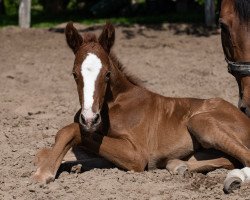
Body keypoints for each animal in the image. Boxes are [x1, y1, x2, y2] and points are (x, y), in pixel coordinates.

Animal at [33, 22, 250, 193]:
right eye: (74, 74)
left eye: (107, 74)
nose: (89, 119)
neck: (115, 104)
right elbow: (46, 150)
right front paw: (65, 165)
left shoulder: (136, 155)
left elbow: (69, 130)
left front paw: (43, 174)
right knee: (228, 159)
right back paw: (178, 166)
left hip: (200, 120)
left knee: (245, 159)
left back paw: (233, 180)